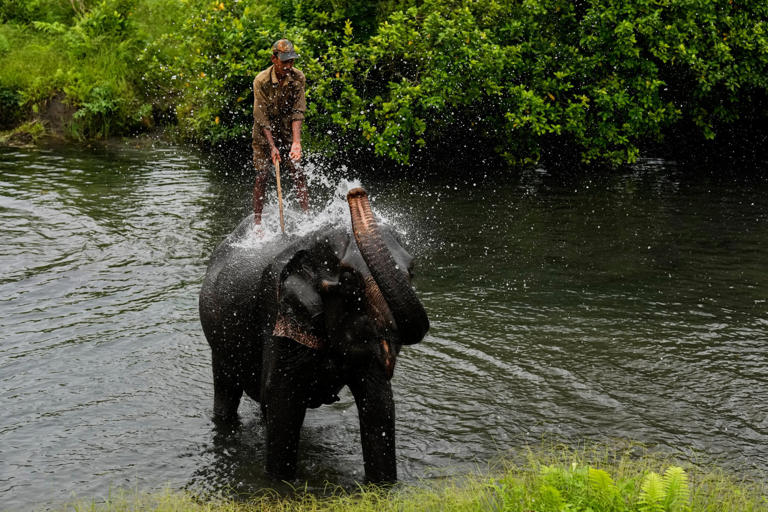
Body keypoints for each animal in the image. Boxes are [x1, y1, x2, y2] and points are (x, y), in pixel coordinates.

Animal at [198, 187, 429, 483]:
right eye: (350, 281)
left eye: (412, 270)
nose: (355, 192)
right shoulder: (277, 311)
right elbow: (283, 405)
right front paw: (279, 484)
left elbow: (378, 404)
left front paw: (383, 486)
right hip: (219, 339)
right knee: (227, 391)